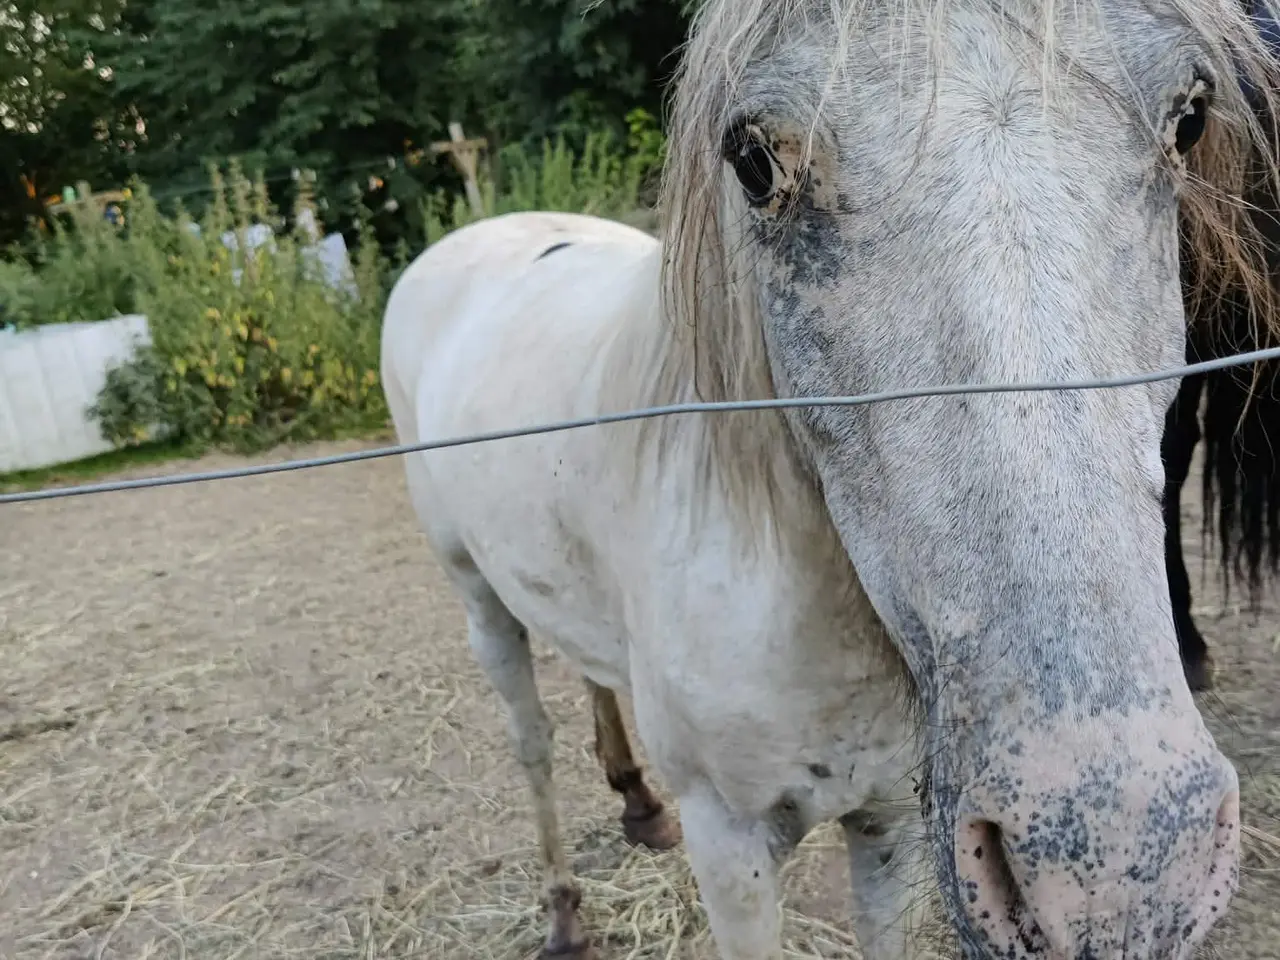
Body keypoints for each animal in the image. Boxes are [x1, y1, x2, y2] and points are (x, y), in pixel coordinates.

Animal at [381, 2, 1280, 958]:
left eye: (1190, 119)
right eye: (753, 160)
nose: (1117, 868)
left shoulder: (890, 825)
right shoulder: (730, 845)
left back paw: (635, 802)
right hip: (476, 596)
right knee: (532, 740)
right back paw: (562, 912)